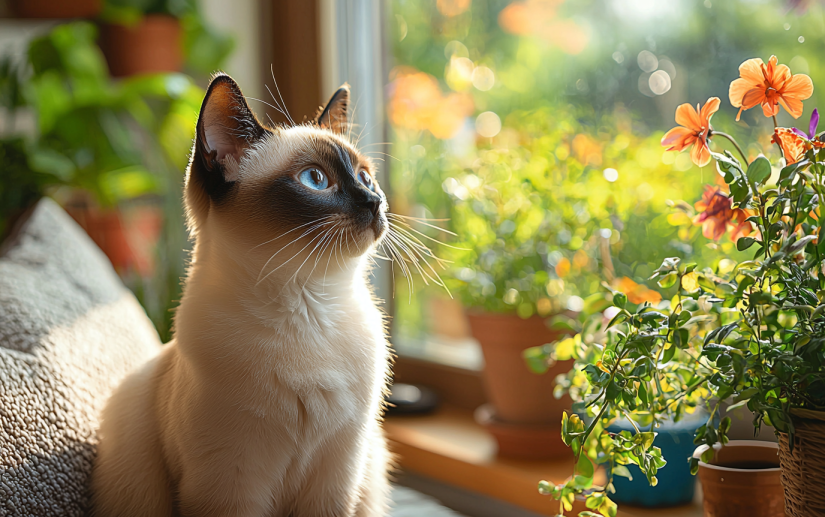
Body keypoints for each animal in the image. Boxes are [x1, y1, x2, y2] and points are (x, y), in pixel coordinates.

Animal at [91, 74, 394, 516]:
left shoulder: (338, 474)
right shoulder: (231, 481)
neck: (309, 306)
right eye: (315, 180)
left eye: (366, 177)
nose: (375, 201)